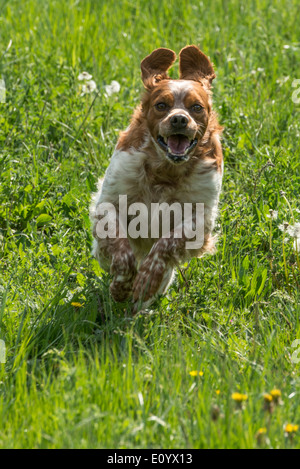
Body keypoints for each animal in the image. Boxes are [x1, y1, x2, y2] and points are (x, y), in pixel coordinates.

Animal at [90, 45, 224, 308]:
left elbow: (167, 244)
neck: (165, 170)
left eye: (196, 107)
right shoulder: (109, 202)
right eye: (161, 105)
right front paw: (121, 285)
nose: (179, 119)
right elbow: (121, 250)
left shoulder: (201, 218)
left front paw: (148, 278)